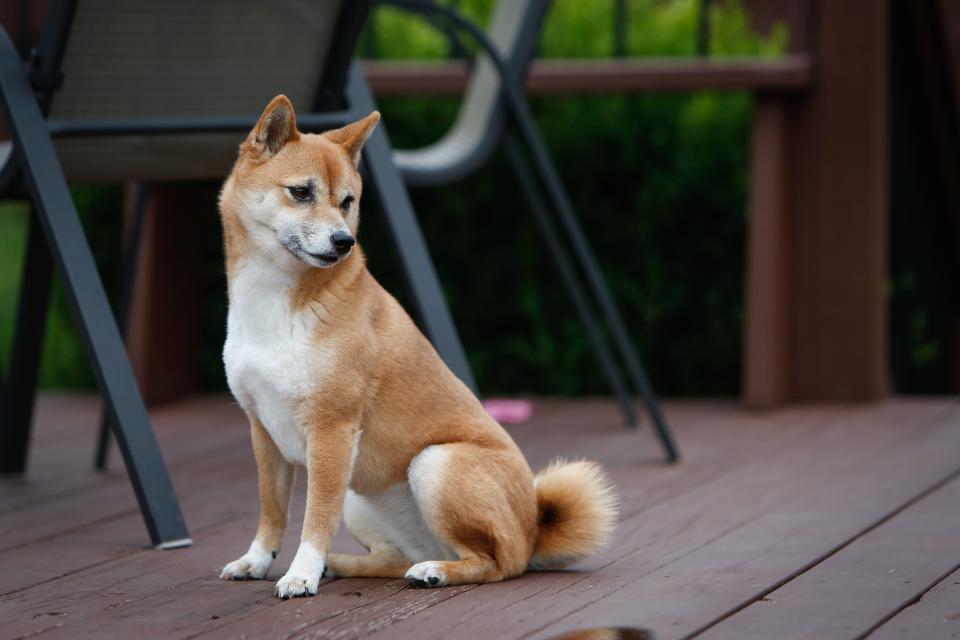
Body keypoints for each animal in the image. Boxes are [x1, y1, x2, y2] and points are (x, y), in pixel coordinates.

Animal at [218, 96, 620, 600]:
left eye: (347, 202)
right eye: (302, 192)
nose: (343, 241)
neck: (273, 302)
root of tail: (532, 530)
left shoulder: (332, 431)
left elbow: (314, 518)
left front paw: (301, 573)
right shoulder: (262, 429)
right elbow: (272, 511)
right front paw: (257, 561)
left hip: (434, 463)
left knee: (495, 564)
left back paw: (435, 572)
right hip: (360, 497)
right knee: (392, 559)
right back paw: (346, 564)